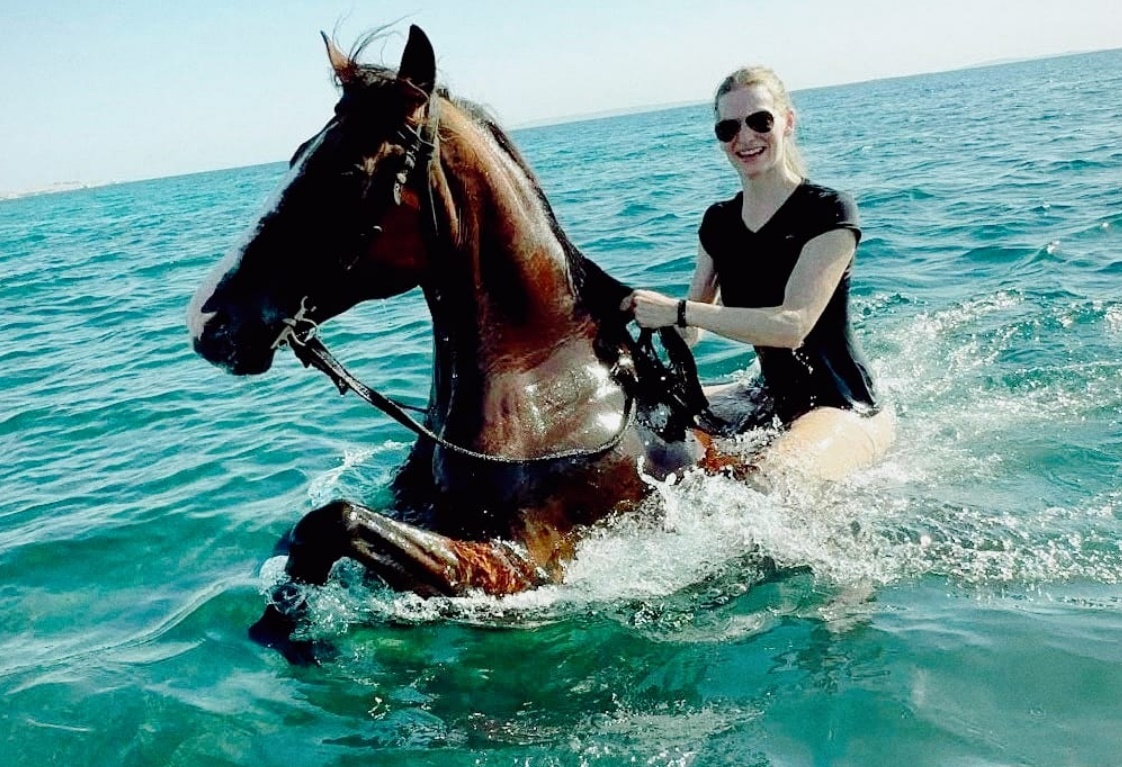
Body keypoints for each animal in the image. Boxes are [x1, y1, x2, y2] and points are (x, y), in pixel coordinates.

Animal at [188, 25, 743, 654]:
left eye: (348, 174)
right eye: (297, 155)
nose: (208, 322)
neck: (544, 389)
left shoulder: (520, 565)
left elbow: (334, 521)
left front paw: (290, 634)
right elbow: (311, 533)